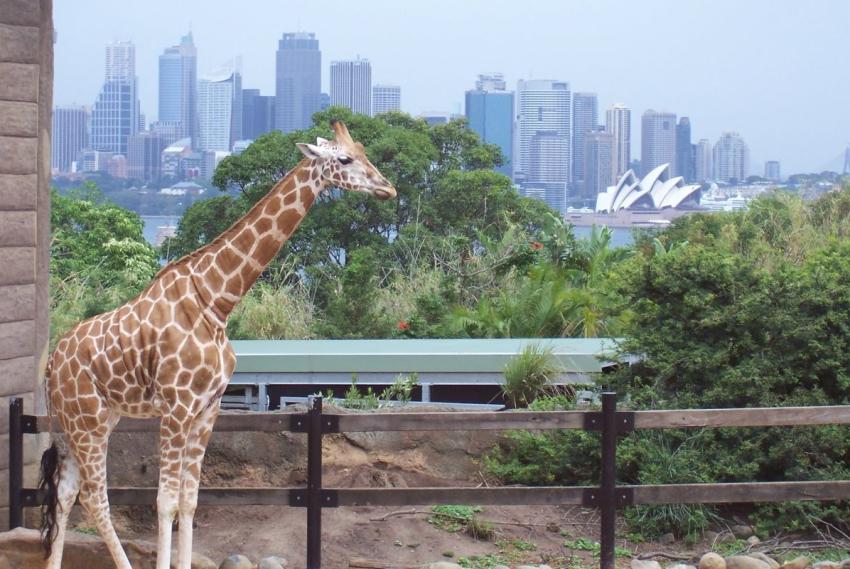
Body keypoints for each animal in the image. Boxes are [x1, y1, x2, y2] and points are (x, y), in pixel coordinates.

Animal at [37, 121, 398, 568]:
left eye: (364, 150)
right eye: (345, 159)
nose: (387, 188)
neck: (216, 301)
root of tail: (51, 365)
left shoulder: (207, 409)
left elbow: (190, 501)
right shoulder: (176, 408)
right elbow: (165, 502)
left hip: (81, 421)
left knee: (66, 492)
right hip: (90, 422)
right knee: (94, 497)